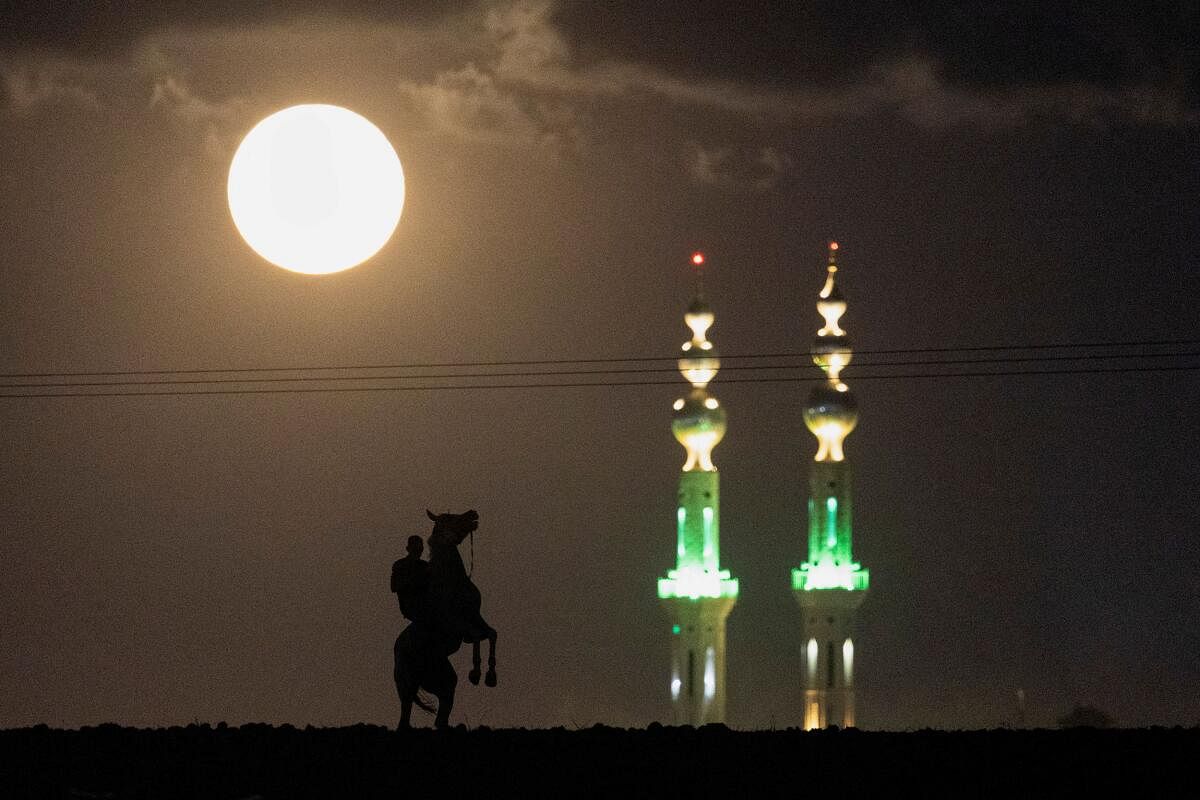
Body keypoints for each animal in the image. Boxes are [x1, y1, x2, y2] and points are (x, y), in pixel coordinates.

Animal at [427, 506, 496, 690]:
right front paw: (476, 673)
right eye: (451, 518)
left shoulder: (475, 615)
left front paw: (491, 675)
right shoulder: (457, 622)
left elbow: (492, 633)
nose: (473, 513)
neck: (456, 582)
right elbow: (477, 635)